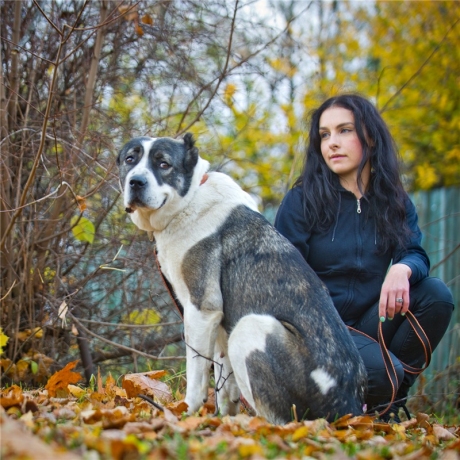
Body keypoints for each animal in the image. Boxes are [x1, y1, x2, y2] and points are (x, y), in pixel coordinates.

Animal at [117, 133, 367, 424]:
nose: (136, 181)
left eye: (163, 164)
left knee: (280, 420)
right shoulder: (220, 325)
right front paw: (221, 420)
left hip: (251, 327)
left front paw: (187, 414)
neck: (191, 199)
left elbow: (196, 371)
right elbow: (224, 383)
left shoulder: (202, 310)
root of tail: (348, 408)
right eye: (130, 160)